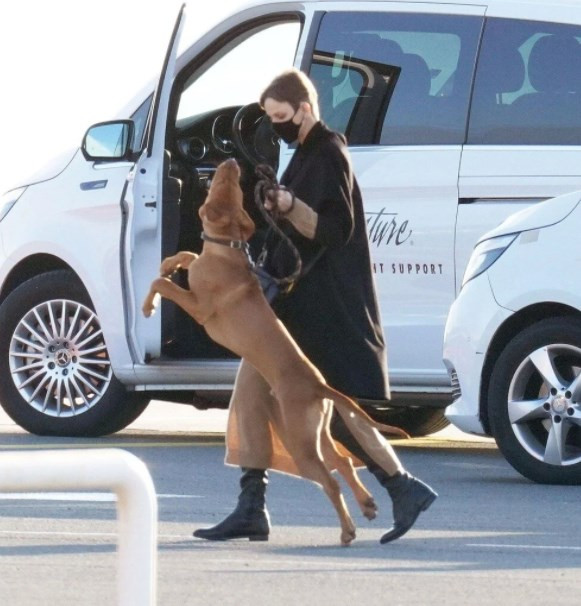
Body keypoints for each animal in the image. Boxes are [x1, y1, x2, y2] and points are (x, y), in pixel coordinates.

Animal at [144, 159, 408, 548]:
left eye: (224, 185)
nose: (231, 161)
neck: (227, 249)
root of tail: (319, 385)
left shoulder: (199, 307)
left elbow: (162, 283)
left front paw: (148, 305)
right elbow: (183, 257)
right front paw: (167, 264)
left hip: (300, 439)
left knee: (329, 481)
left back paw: (348, 530)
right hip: (317, 432)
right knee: (343, 463)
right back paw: (369, 505)